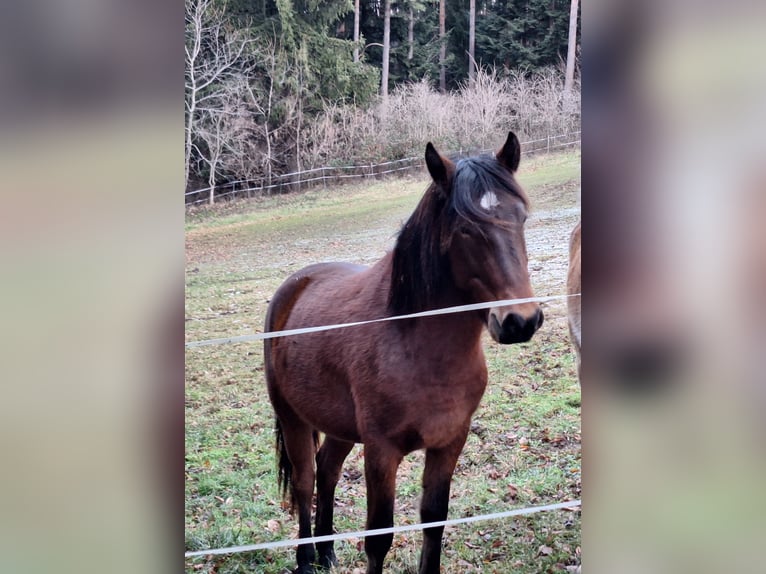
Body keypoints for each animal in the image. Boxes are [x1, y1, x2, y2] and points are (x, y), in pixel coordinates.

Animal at [264, 133, 544, 574]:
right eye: (465, 229)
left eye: (522, 218)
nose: (520, 321)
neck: (419, 351)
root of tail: (292, 286)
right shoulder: (382, 451)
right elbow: (379, 537)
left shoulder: (449, 442)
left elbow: (434, 520)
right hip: (292, 418)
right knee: (305, 480)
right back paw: (306, 559)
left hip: (339, 427)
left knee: (328, 471)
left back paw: (327, 553)